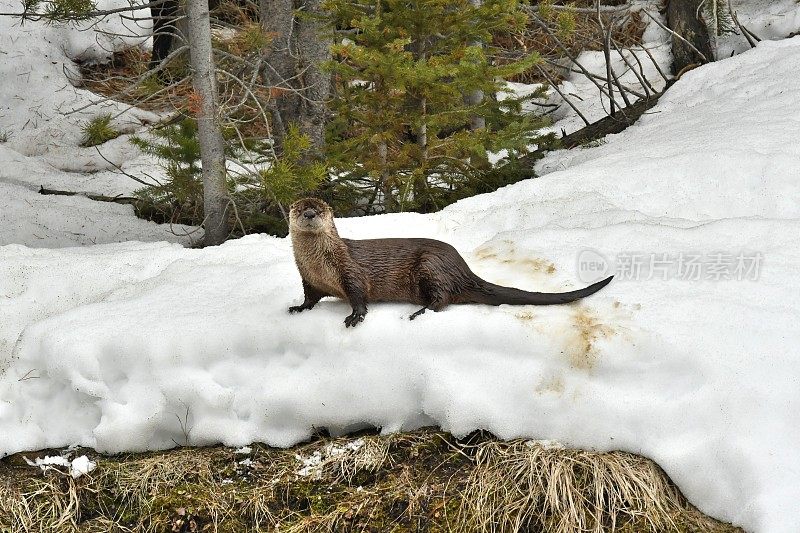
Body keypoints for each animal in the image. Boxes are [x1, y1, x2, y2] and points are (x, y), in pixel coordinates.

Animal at [288, 197, 612, 326]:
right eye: (300, 209)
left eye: (319, 210)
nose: (310, 214)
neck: (319, 264)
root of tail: (463, 269)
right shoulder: (307, 278)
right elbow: (310, 297)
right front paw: (298, 308)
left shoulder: (350, 270)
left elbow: (358, 294)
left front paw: (355, 316)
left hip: (431, 266)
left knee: (442, 298)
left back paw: (419, 312)